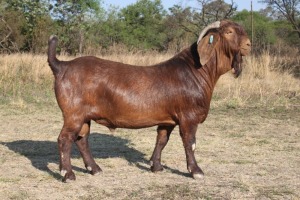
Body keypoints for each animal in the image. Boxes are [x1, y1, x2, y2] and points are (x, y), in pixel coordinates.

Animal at [47, 19, 251, 181]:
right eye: (229, 32)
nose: (248, 44)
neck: (195, 71)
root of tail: (62, 66)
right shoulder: (188, 117)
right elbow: (190, 143)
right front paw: (196, 171)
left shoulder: (168, 119)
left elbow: (162, 139)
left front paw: (156, 166)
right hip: (73, 113)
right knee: (65, 139)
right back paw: (68, 174)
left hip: (84, 115)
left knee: (81, 139)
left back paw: (95, 169)